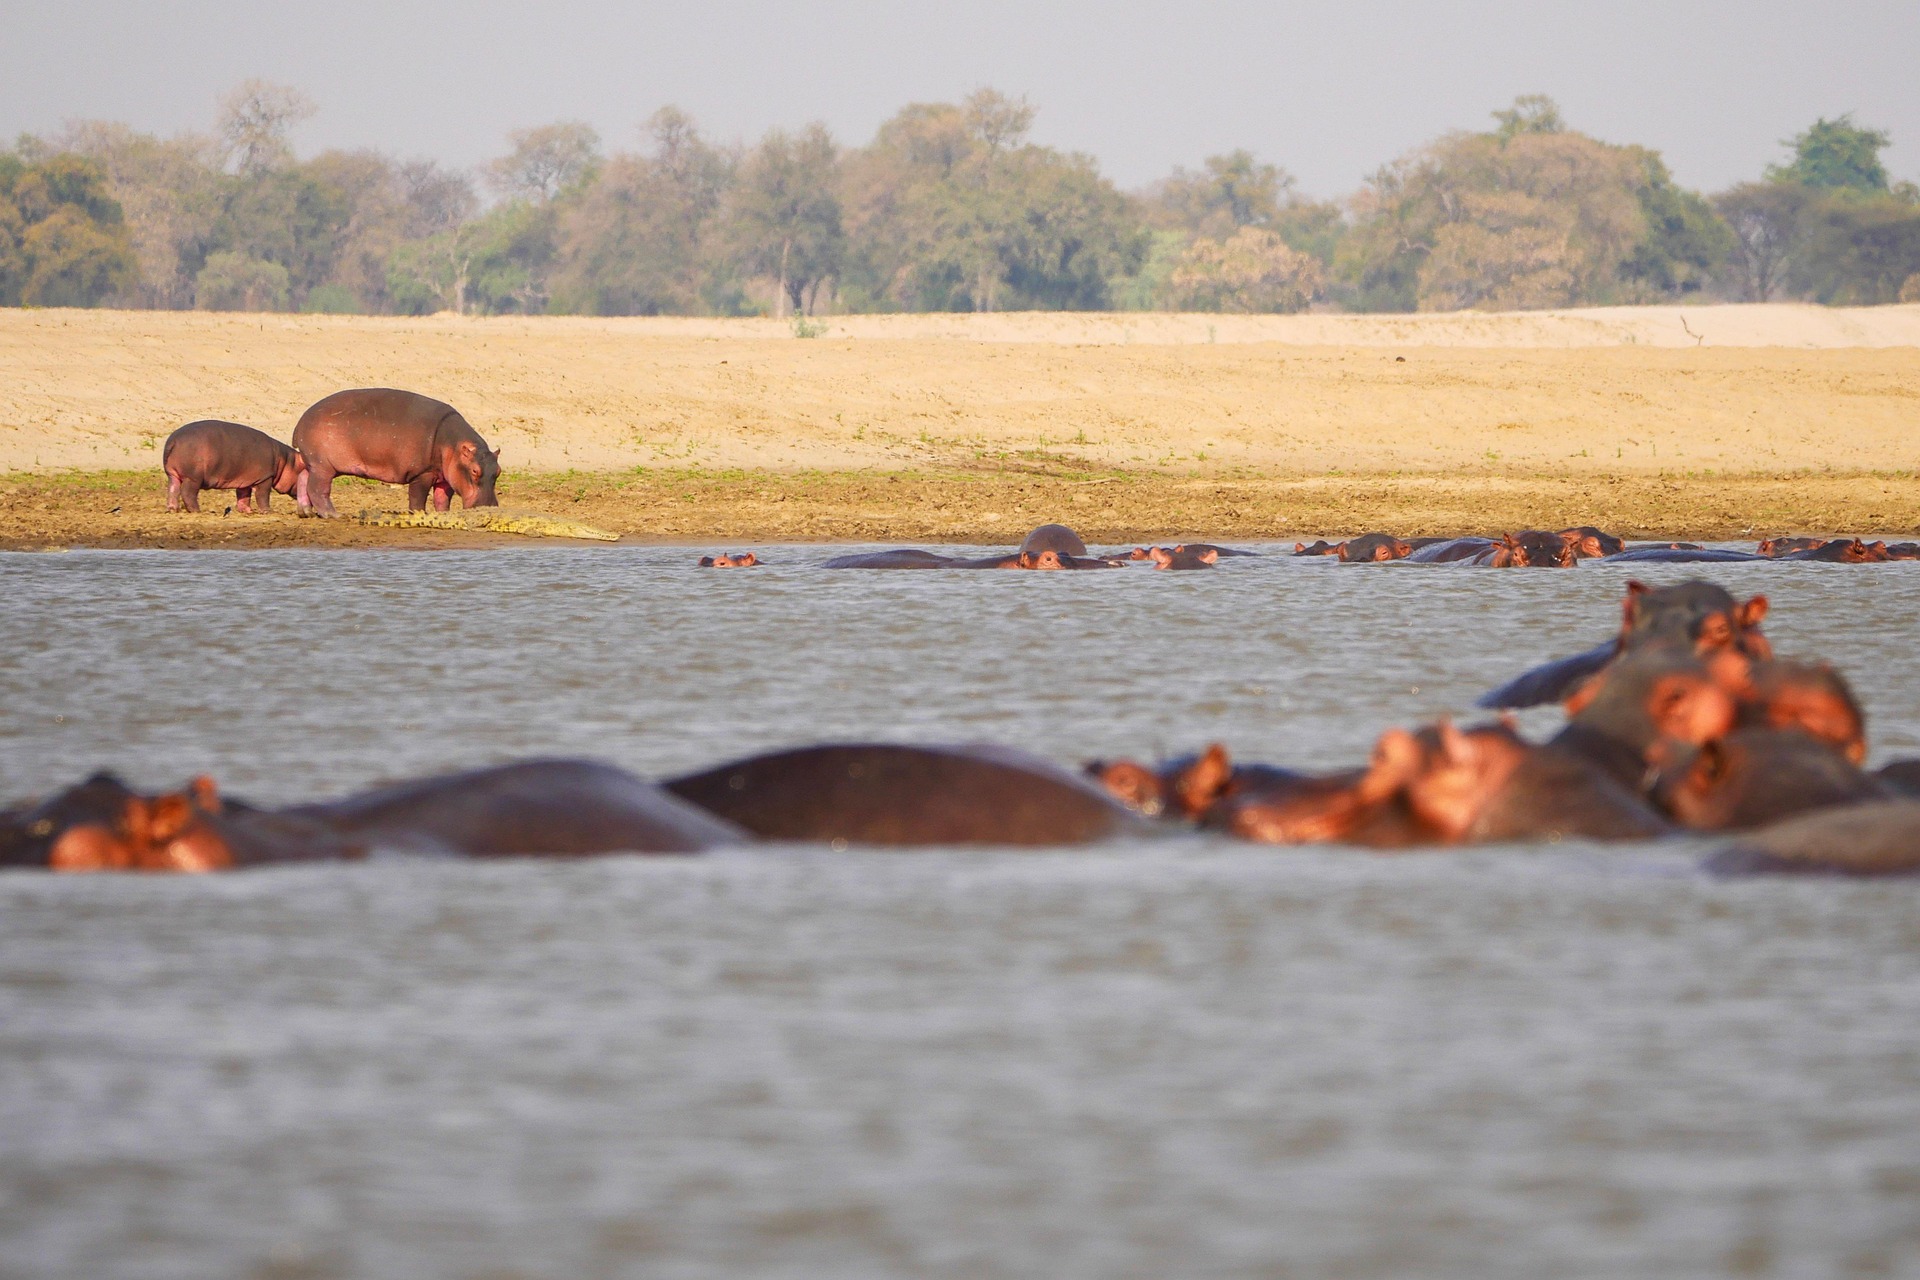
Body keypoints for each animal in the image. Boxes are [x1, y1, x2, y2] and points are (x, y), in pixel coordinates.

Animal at [162, 420, 306, 514]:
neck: (285, 461)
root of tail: (173, 440)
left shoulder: (246, 480)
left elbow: (244, 496)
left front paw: (247, 511)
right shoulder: (265, 478)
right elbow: (263, 495)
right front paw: (268, 511)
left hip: (173, 475)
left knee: (173, 489)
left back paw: (173, 510)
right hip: (193, 477)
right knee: (187, 493)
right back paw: (197, 511)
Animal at [292, 388, 501, 518]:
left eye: (498, 471)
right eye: (474, 471)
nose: (490, 508)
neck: (453, 444)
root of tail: (301, 420)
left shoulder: (445, 477)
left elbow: (442, 499)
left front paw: (444, 515)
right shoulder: (422, 473)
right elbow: (417, 497)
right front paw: (420, 514)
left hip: (312, 462)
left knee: (302, 478)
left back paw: (306, 512)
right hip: (323, 465)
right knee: (318, 489)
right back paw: (334, 515)